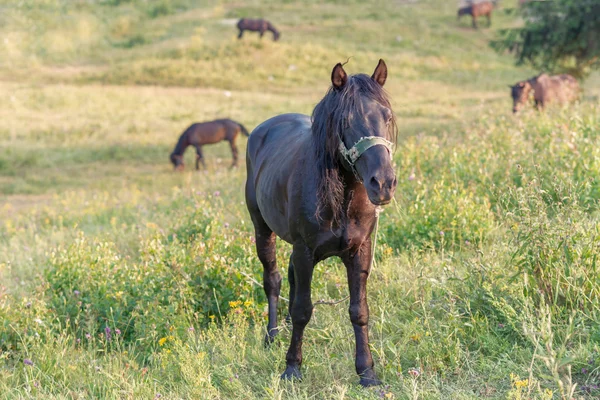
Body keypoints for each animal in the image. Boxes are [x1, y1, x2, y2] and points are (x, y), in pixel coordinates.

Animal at [246, 60, 396, 388]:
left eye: (387, 116)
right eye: (347, 121)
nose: (383, 183)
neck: (343, 197)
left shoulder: (360, 252)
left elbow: (359, 310)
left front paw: (367, 373)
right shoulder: (304, 252)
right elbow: (303, 309)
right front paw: (292, 368)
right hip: (262, 230)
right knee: (273, 280)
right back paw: (272, 336)